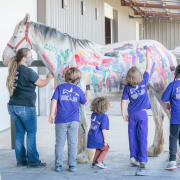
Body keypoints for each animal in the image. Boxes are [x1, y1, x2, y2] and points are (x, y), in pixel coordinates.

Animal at [2, 14, 179, 162]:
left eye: (16, 35)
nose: (4, 58)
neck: (67, 57)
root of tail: (166, 52)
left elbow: (83, 125)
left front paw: (84, 155)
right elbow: (78, 126)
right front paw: (79, 152)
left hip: (160, 90)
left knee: (170, 116)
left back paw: (173, 156)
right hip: (151, 91)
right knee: (158, 118)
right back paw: (154, 150)